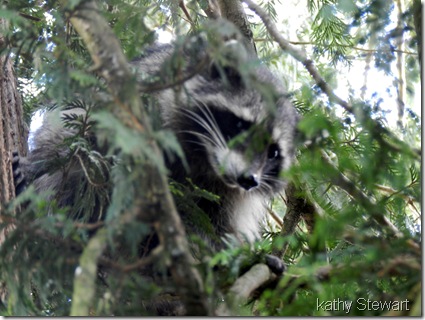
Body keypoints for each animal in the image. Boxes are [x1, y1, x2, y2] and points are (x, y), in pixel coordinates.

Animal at [14, 35, 298, 250]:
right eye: (241, 126)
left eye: (273, 153)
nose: (249, 180)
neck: (203, 157)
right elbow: (84, 131)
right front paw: (39, 165)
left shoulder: (227, 195)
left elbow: (219, 224)